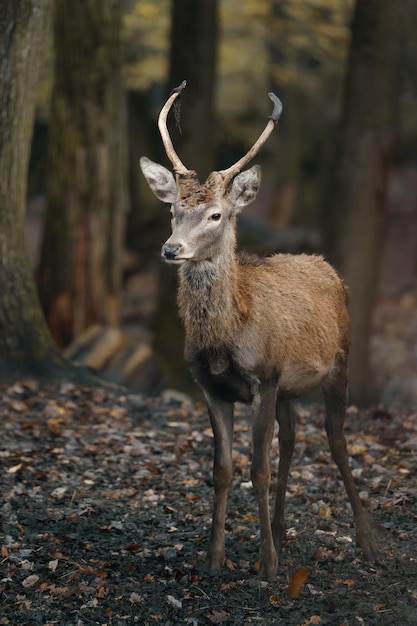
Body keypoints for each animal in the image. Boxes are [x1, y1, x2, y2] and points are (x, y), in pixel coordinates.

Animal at [140, 81, 376, 580]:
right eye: (172, 210)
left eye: (216, 215)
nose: (171, 249)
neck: (226, 339)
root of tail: (327, 267)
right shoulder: (211, 388)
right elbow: (224, 469)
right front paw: (215, 557)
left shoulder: (262, 379)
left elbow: (258, 470)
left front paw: (265, 564)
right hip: (289, 388)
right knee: (290, 440)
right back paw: (284, 531)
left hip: (340, 363)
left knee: (336, 441)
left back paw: (366, 542)